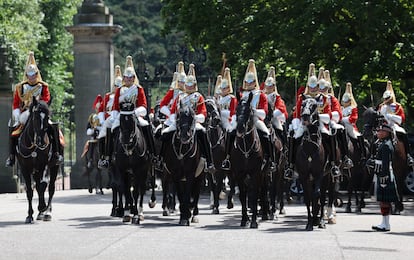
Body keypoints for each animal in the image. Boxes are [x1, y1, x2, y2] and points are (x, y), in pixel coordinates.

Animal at [228, 93, 266, 228]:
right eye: (236, 110)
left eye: (249, 111)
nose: (240, 128)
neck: (245, 149)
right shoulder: (239, 174)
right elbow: (243, 195)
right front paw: (244, 219)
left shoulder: (256, 173)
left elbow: (254, 195)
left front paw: (254, 221)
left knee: (261, 191)